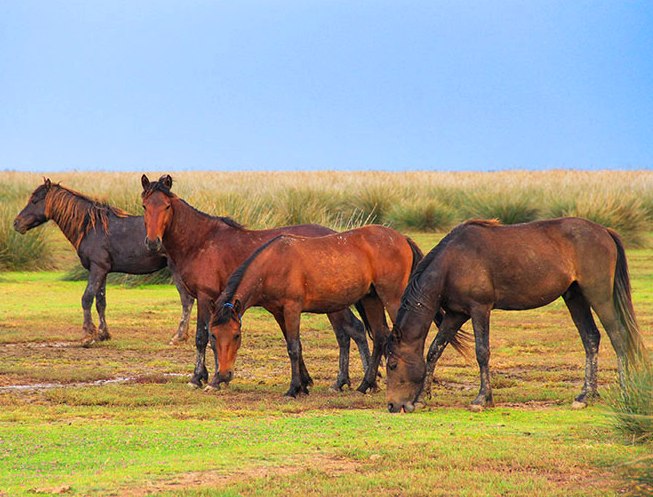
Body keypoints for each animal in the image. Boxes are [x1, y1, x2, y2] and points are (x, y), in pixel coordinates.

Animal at [13, 177, 194, 344]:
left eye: (35, 201)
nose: (16, 223)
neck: (92, 227)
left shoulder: (97, 269)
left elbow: (87, 298)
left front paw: (88, 335)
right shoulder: (103, 271)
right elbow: (101, 302)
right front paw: (103, 334)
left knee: (187, 300)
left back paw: (178, 336)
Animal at [139, 172, 370, 390]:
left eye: (167, 206)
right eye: (144, 206)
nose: (152, 242)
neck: (201, 241)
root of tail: (341, 238)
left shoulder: (205, 297)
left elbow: (201, 338)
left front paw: (201, 378)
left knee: (352, 330)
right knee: (348, 332)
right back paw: (344, 381)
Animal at [388, 219, 648, 412]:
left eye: (392, 364)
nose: (392, 406)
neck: (452, 263)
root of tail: (604, 231)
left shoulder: (479, 309)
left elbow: (482, 352)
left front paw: (482, 399)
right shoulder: (455, 314)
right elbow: (434, 351)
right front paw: (421, 398)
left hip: (598, 295)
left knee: (618, 336)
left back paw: (625, 391)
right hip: (575, 298)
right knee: (591, 338)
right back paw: (586, 396)